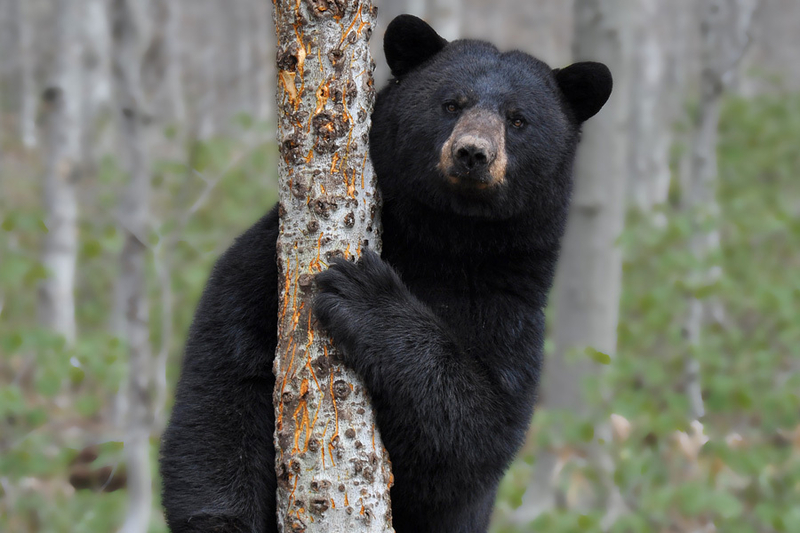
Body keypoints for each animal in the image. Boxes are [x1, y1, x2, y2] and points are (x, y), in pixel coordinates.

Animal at [160, 13, 612, 533]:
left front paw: (365, 293)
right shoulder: (264, 266)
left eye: (518, 119)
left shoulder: (510, 308)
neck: (445, 239)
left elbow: (474, 438)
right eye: (450, 103)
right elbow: (223, 385)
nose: (472, 153)